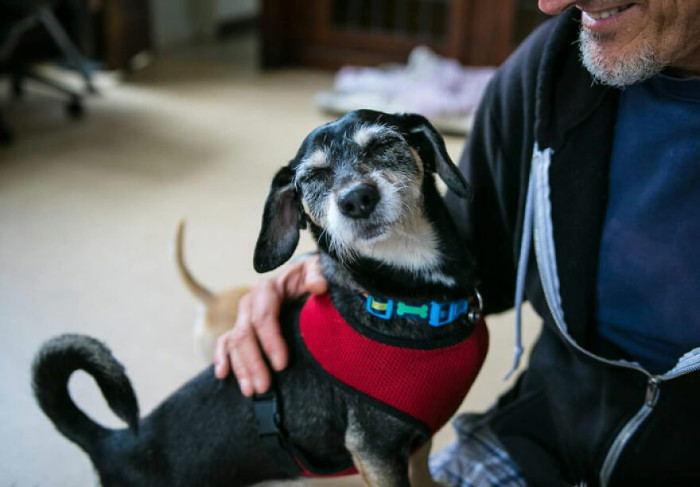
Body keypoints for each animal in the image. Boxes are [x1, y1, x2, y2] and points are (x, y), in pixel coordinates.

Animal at [31, 110, 486, 487]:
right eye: (313, 178)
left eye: (381, 145)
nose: (356, 199)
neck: (407, 297)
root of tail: (113, 444)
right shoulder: (375, 450)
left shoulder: (415, 443)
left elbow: (424, 475)